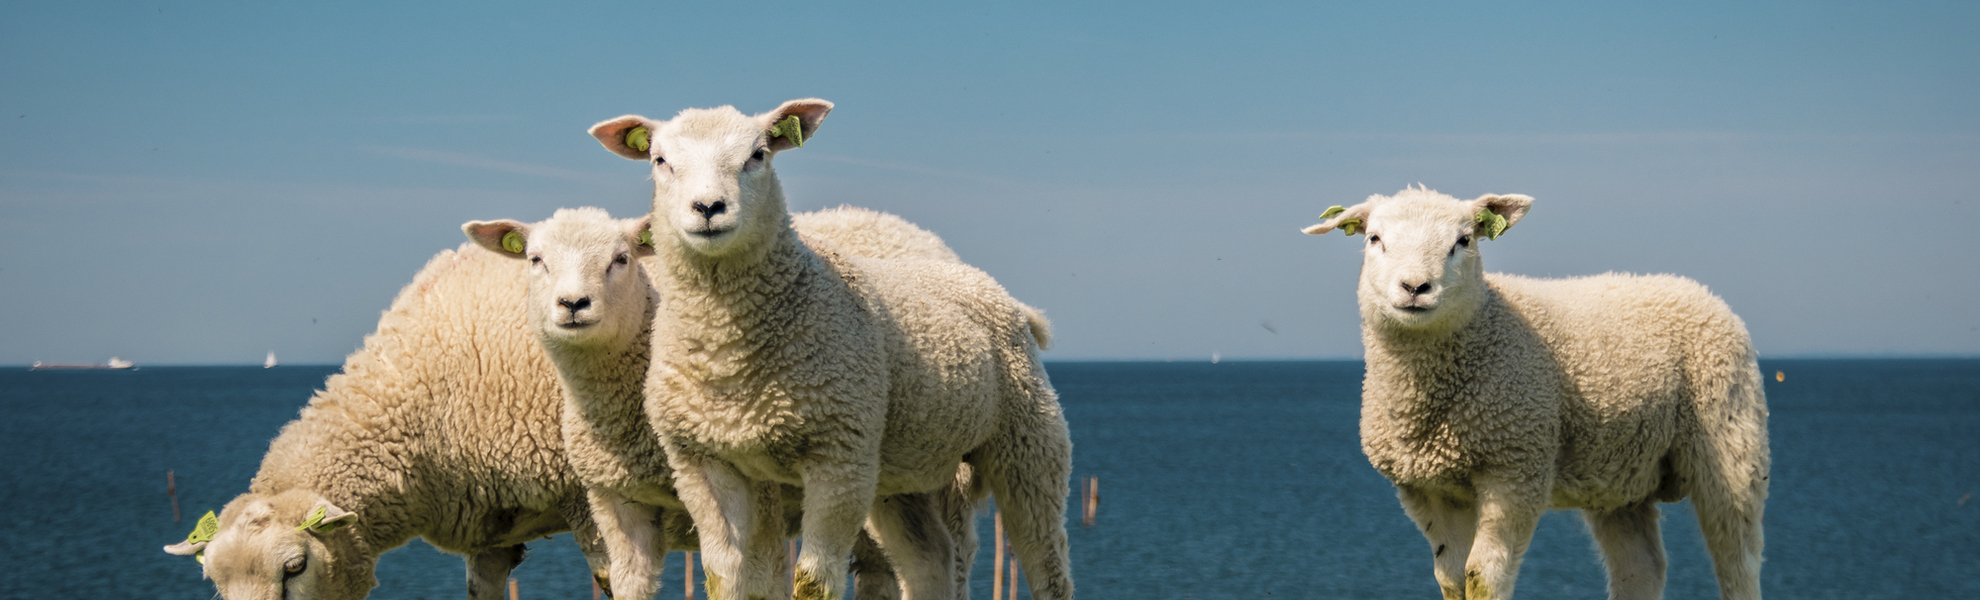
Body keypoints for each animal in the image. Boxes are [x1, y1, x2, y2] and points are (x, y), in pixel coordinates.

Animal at [585, 99, 1073, 600]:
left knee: (1047, 564)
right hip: (901, 469)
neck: (730, 356)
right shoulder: (702, 461)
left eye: (758, 155)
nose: (708, 208)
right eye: (659, 160)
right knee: (930, 559)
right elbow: (723, 577)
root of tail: (991, 286)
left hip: (1028, 439)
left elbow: (813, 583)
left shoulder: (839, 456)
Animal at [1301, 186, 1769, 600]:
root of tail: (1695, 289)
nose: (1415, 288)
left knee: (1739, 562)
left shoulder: (1516, 468)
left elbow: (1481, 579)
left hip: (1731, 447)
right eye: (1375, 239)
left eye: (1463, 241)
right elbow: (1451, 580)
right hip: (1620, 476)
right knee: (1642, 568)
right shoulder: (1429, 488)